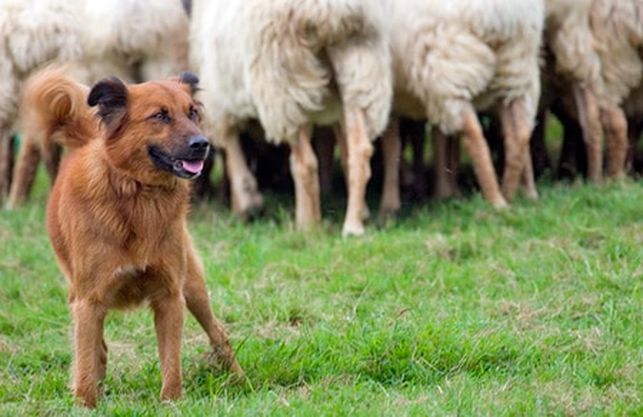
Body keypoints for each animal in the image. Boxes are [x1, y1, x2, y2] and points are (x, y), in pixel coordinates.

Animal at [19, 69, 244, 406]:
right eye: (160, 116)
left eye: (192, 112)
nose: (203, 144)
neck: (137, 193)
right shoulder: (89, 302)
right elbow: (86, 362)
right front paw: (86, 405)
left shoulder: (170, 296)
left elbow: (171, 361)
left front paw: (172, 402)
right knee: (96, 350)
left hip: (193, 287)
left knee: (219, 333)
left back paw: (242, 381)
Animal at [191, 0, 392, 234]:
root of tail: (330, 9)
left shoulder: (218, 96)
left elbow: (231, 149)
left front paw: (246, 205)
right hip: (360, 66)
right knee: (359, 150)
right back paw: (353, 225)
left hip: (285, 78)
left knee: (305, 162)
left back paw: (307, 225)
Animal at [380, 0, 544, 210]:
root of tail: (502, 12)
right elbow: (428, 139)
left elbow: (392, 145)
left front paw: (389, 205)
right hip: (516, 70)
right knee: (519, 133)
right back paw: (513, 194)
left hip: (449, 70)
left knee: (475, 135)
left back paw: (496, 201)